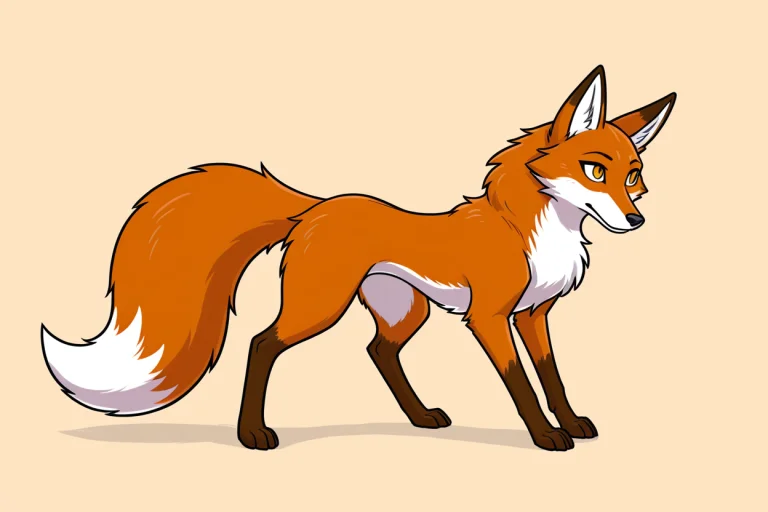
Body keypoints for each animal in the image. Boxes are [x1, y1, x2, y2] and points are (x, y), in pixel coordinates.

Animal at [41, 65, 676, 451]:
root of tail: (317, 206)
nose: (636, 221)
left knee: (378, 351)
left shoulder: (533, 315)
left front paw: (571, 423)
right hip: (319, 306)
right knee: (262, 344)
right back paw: (253, 434)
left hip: (405, 311)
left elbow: (553, 376)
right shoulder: (490, 317)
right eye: (593, 170)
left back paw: (420, 418)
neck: (532, 231)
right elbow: (521, 383)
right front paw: (546, 437)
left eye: (633, 176)